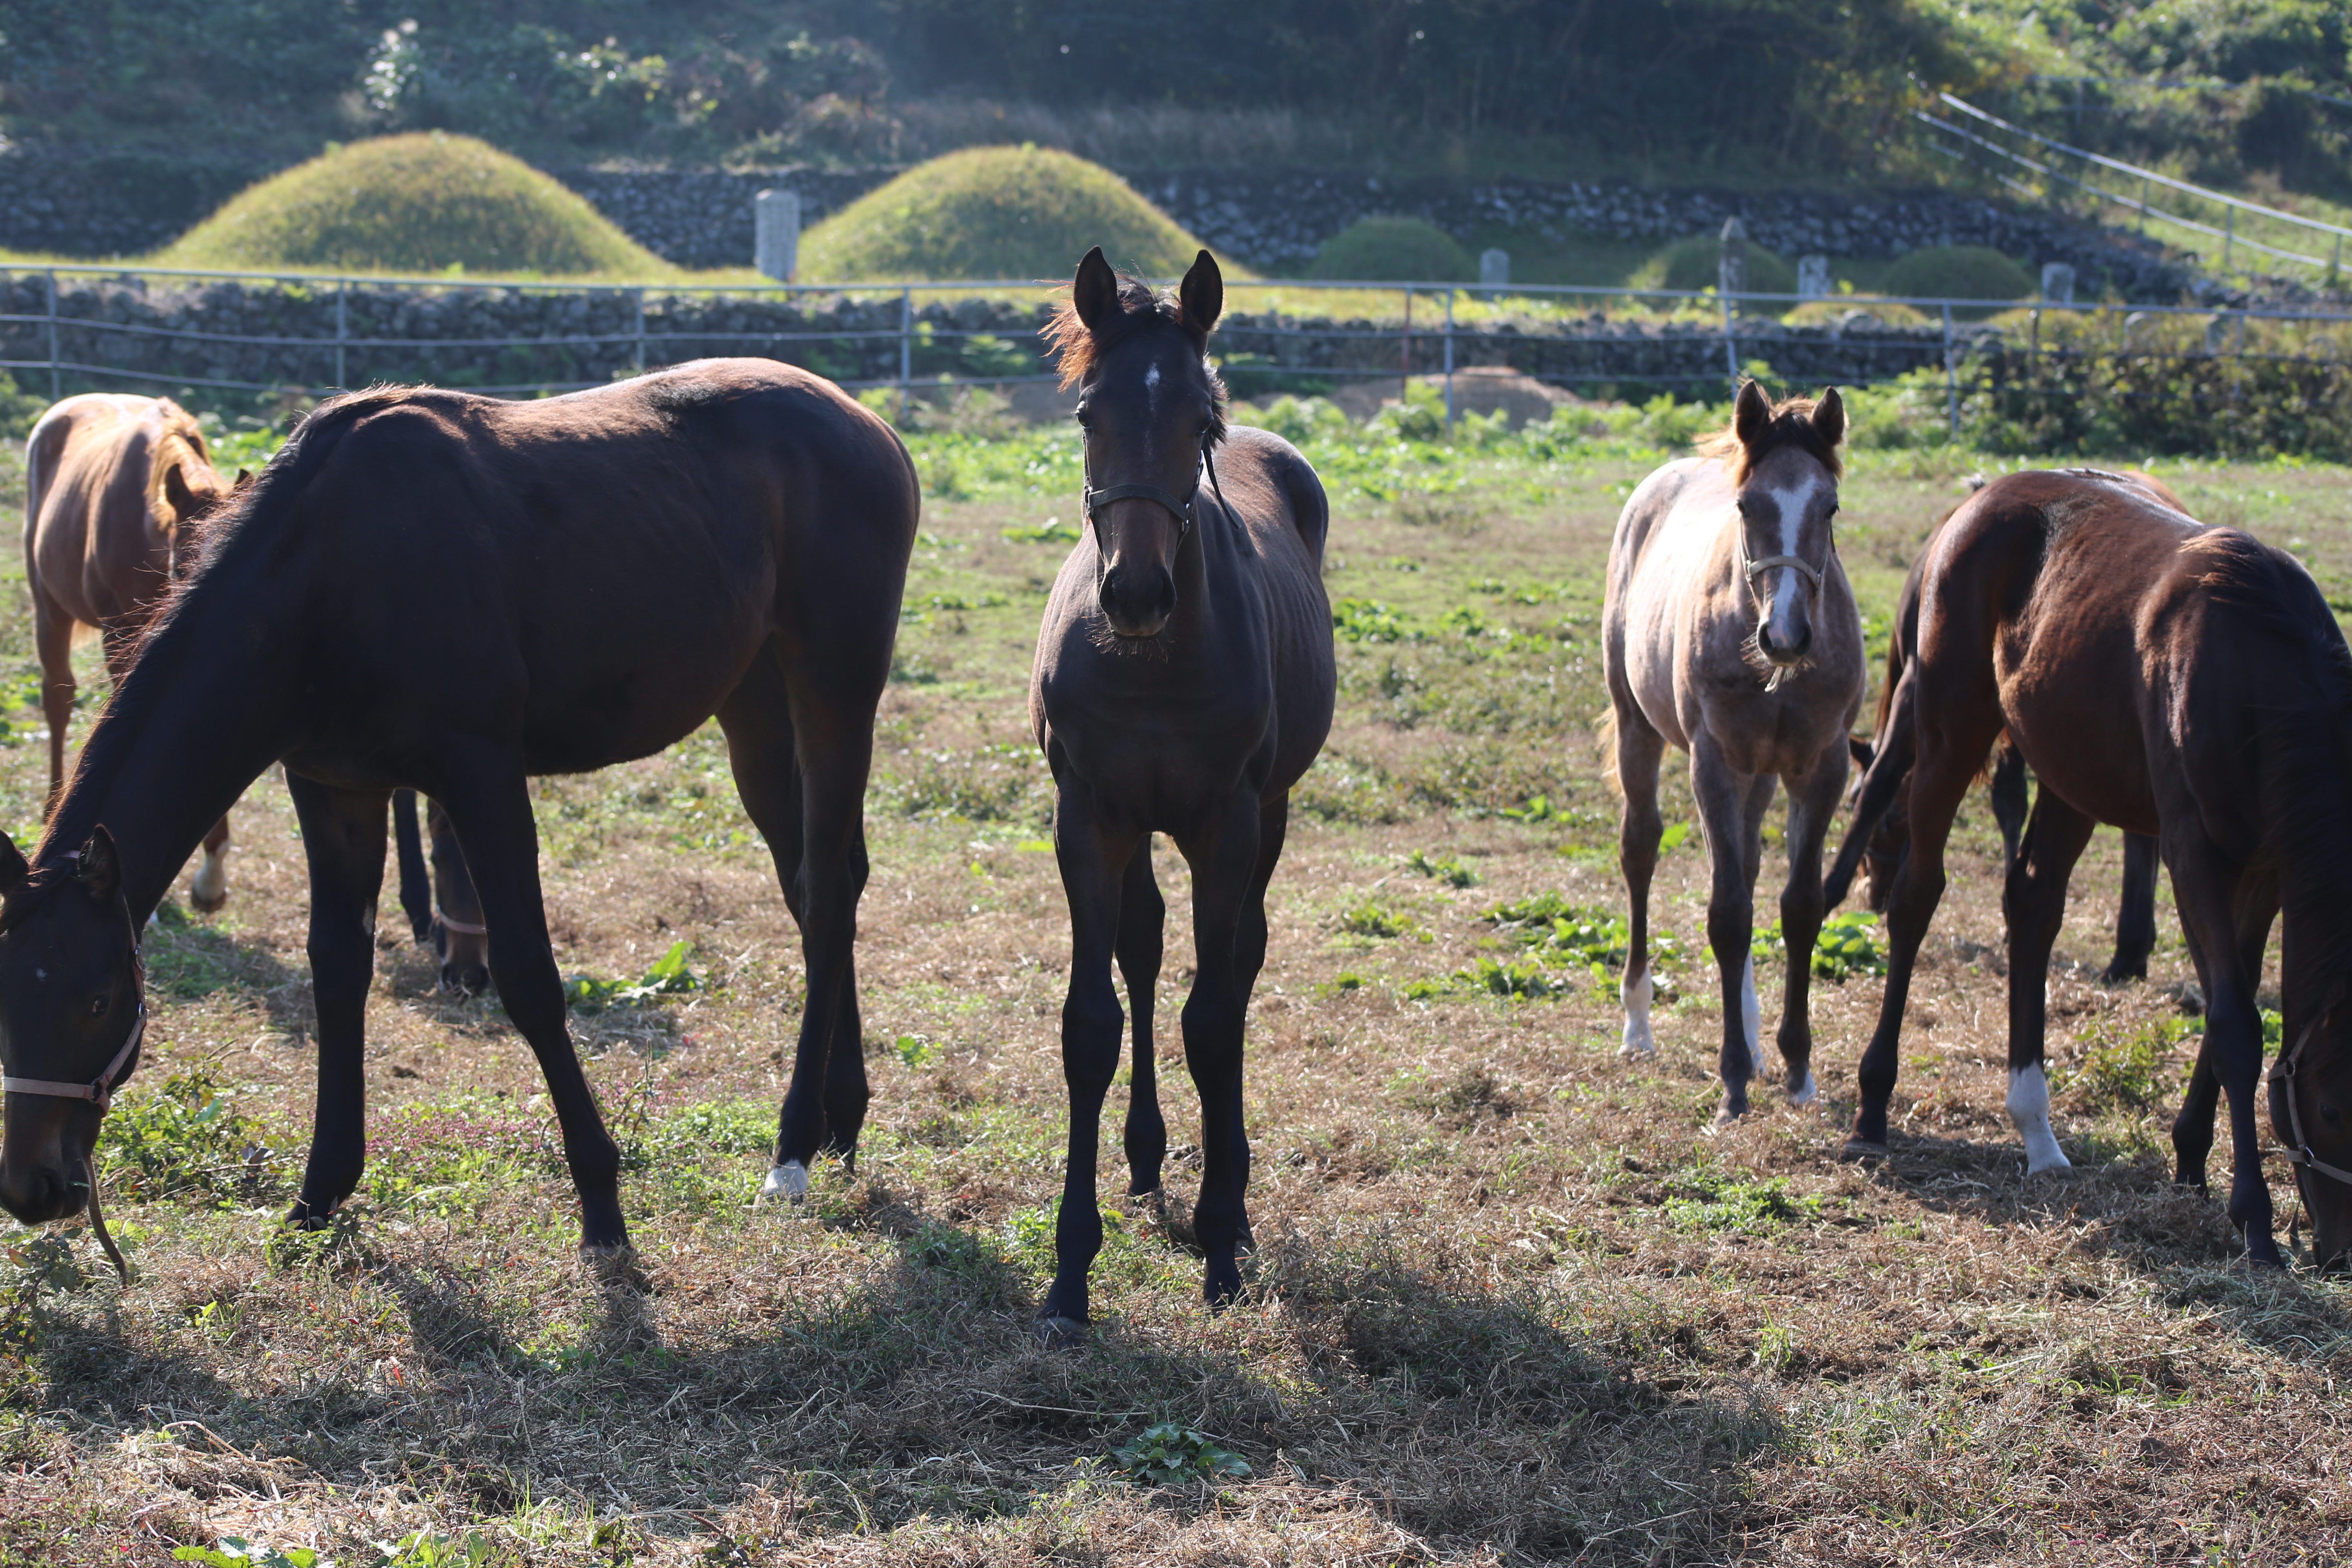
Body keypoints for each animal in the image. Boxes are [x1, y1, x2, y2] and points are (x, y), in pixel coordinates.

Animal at [26, 395, 243, 907]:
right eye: (182, 568)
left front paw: (213, 871)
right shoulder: (120, 635)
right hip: (49, 606)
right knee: (58, 698)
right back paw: (53, 808)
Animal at [1844, 470, 2352, 1278]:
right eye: (2330, 1109)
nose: (2338, 1251)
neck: (2255, 671)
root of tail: (1979, 502)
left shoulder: (2269, 867)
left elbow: (2232, 1002)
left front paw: (2190, 1157)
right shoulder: (2193, 851)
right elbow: (2236, 1026)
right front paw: (2255, 1221)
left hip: (2068, 775)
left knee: (2032, 904)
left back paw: (2037, 1132)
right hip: (1952, 735)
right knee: (1916, 900)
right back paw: (1873, 1104)